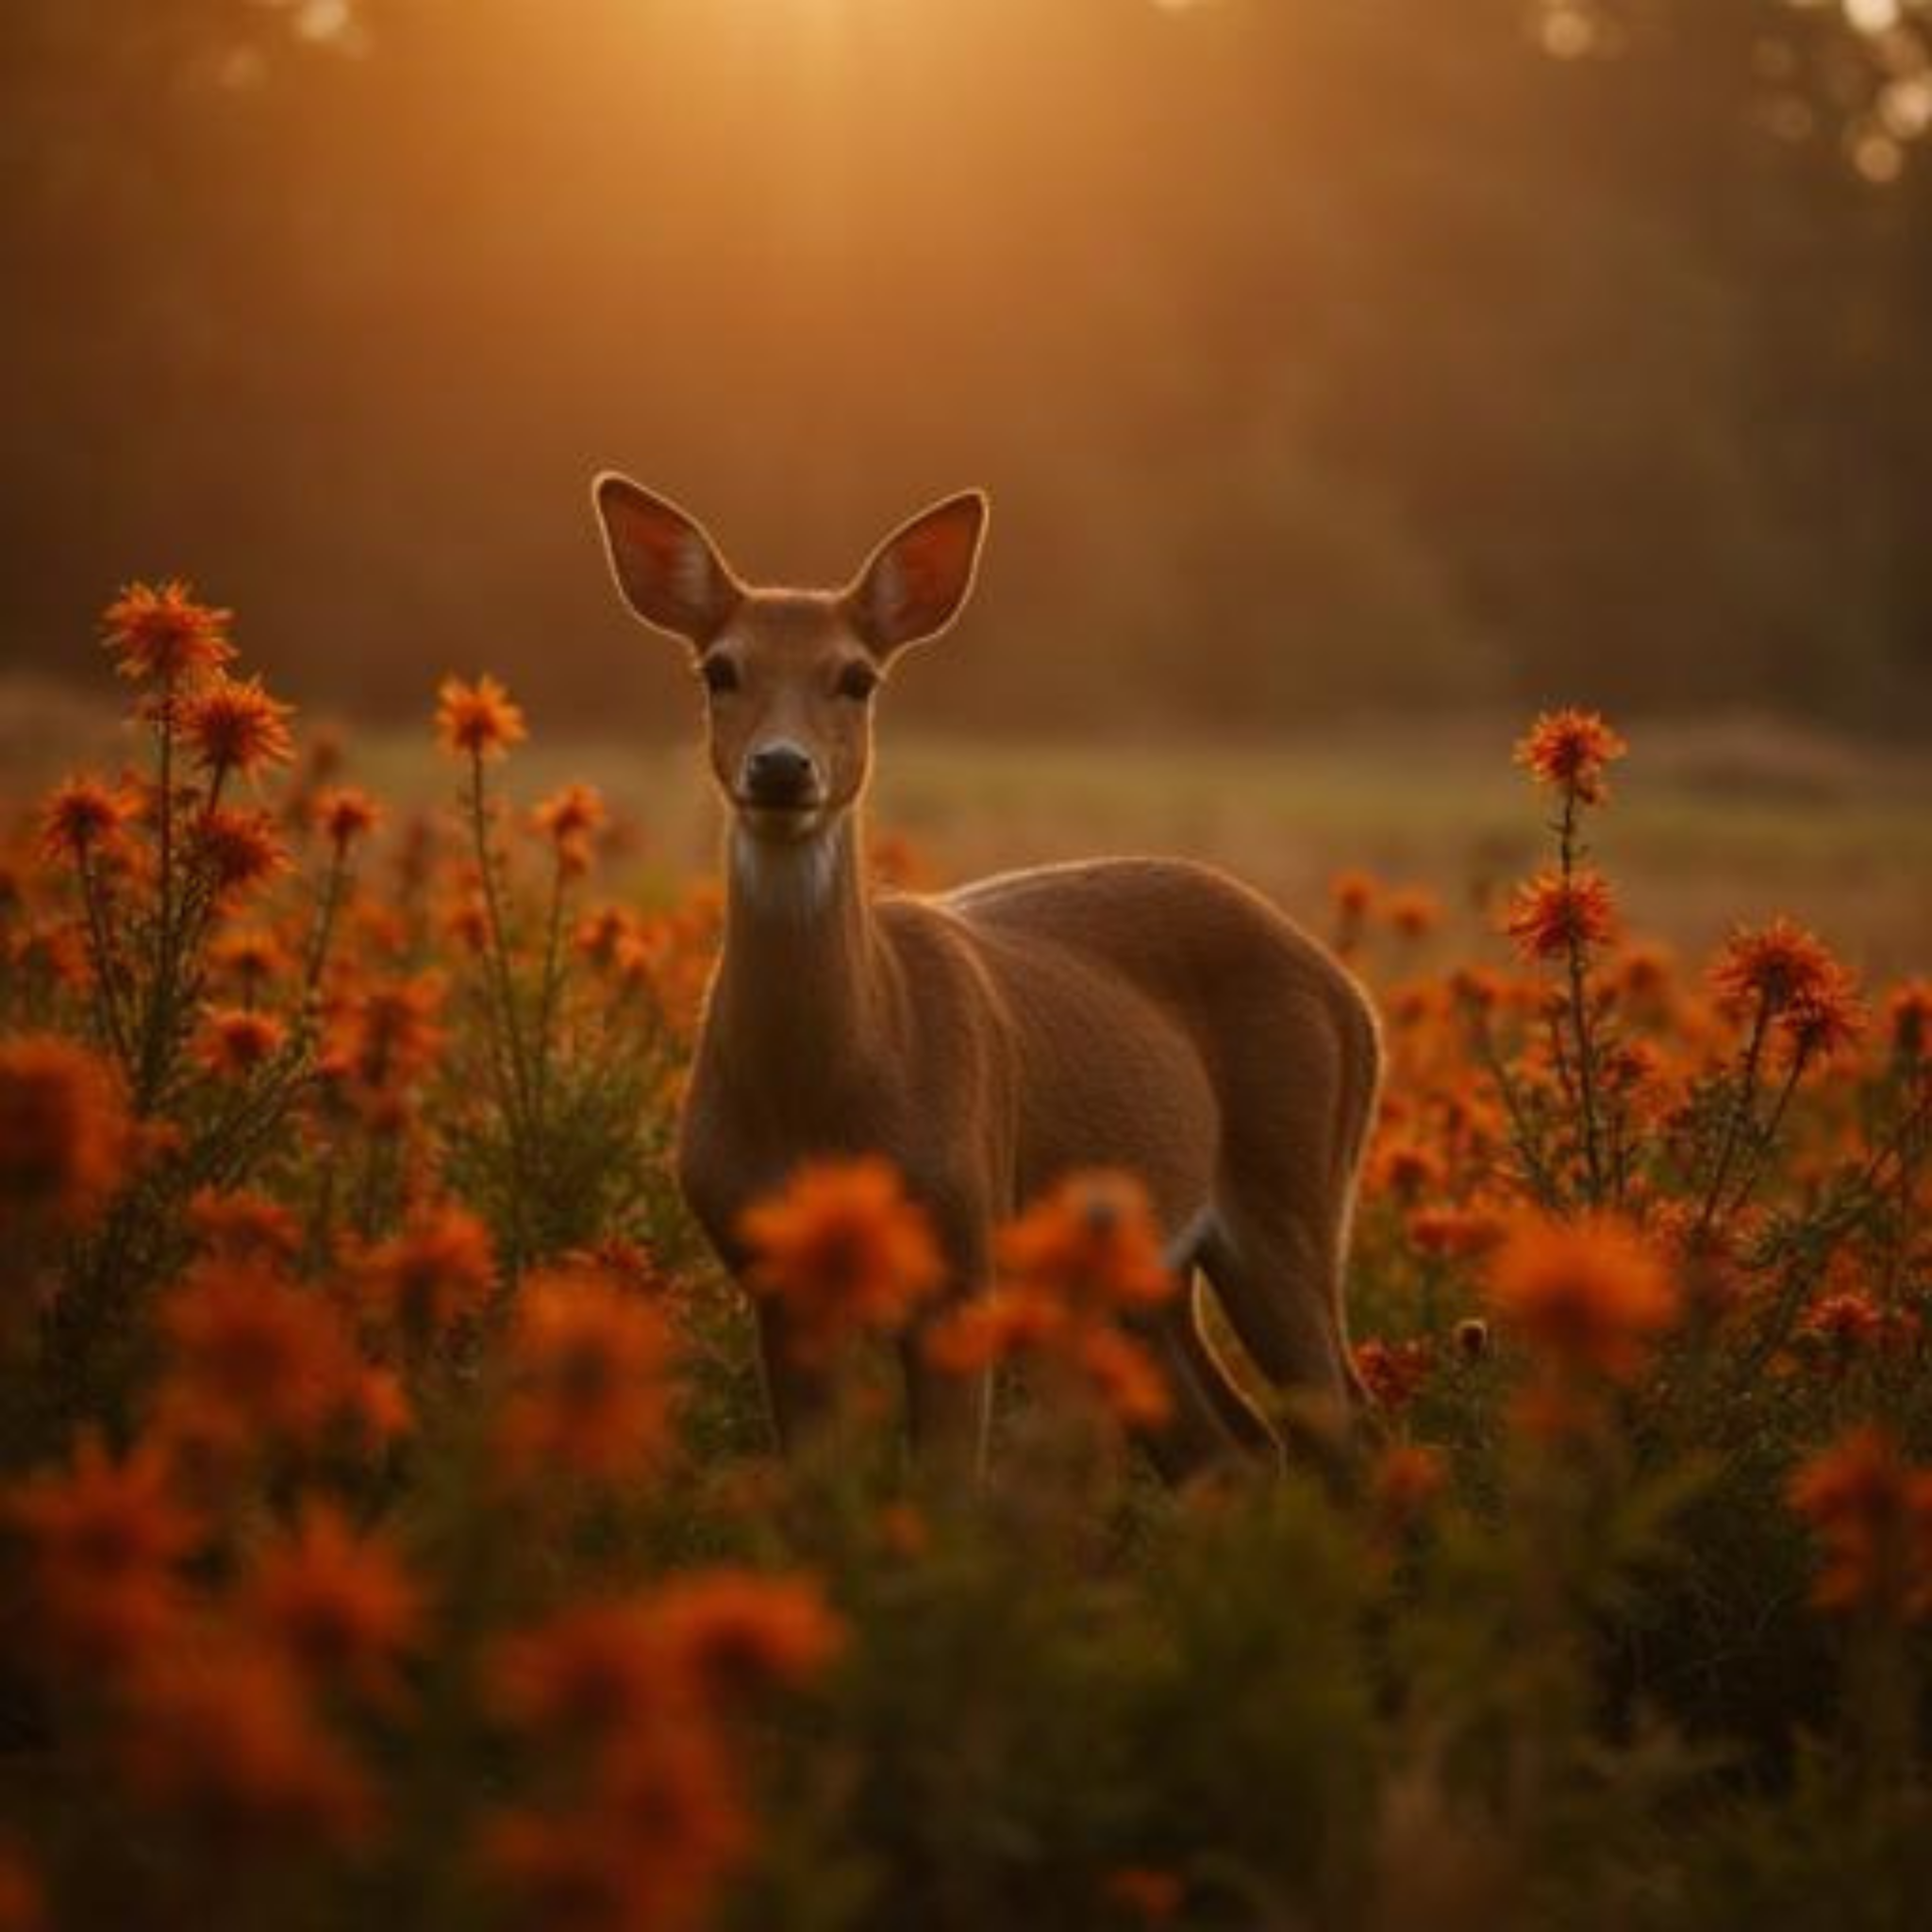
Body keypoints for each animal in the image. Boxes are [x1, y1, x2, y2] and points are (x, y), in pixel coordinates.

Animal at [591, 475, 1382, 1485]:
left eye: (858, 677)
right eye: (719, 671)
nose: (780, 767)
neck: (826, 1097)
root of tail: (1349, 993)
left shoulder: (965, 1244)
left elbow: (948, 1487)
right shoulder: (770, 1276)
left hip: (1296, 1187)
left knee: (1348, 1424)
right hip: (1151, 1279)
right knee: (1235, 1446)